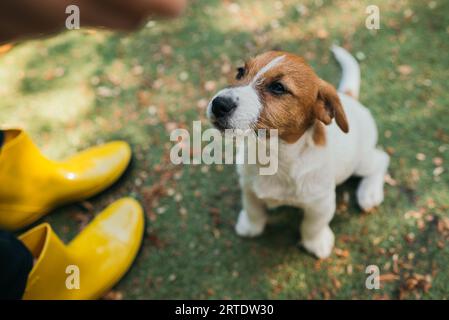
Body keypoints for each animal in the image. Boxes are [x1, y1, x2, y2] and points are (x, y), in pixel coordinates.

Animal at [206, 45, 388, 258]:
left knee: (381, 159)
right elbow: (253, 209)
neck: (274, 154)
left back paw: (370, 192)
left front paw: (315, 243)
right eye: (240, 72)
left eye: (278, 87)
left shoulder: (321, 203)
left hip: (359, 162)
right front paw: (251, 226)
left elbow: (312, 226)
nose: (218, 104)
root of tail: (348, 98)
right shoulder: (248, 187)